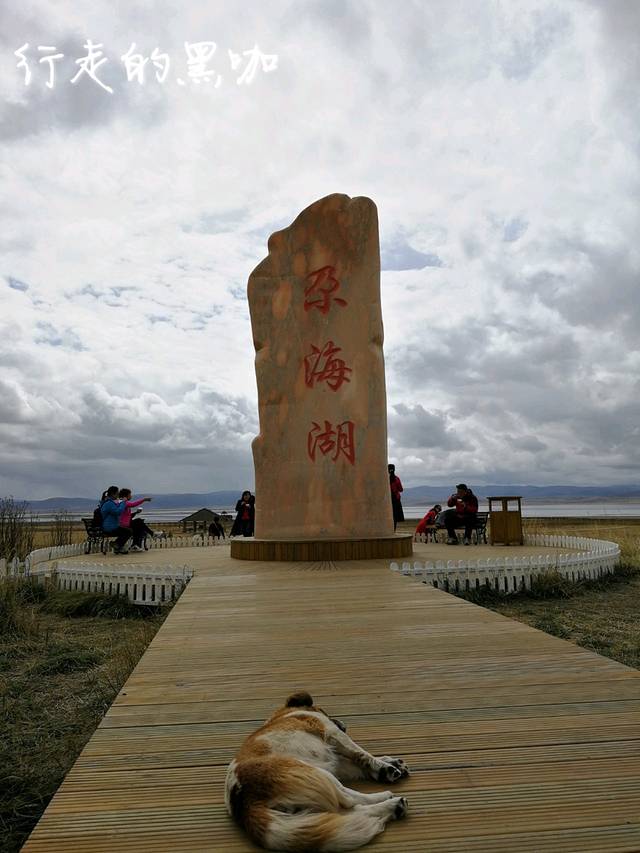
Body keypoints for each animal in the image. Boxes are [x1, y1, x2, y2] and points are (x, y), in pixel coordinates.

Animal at [225, 691, 409, 851]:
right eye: (325, 712)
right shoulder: (332, 733)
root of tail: (246, 802)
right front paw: (385, 767)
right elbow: (362, 754)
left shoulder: (335, 760)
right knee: (351, 800)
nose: (345, 725)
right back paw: (390, 801)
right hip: (316, 772)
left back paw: (393, 807)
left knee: (348, 812)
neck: (285, 714)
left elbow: (356, 763)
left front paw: (389, 762)